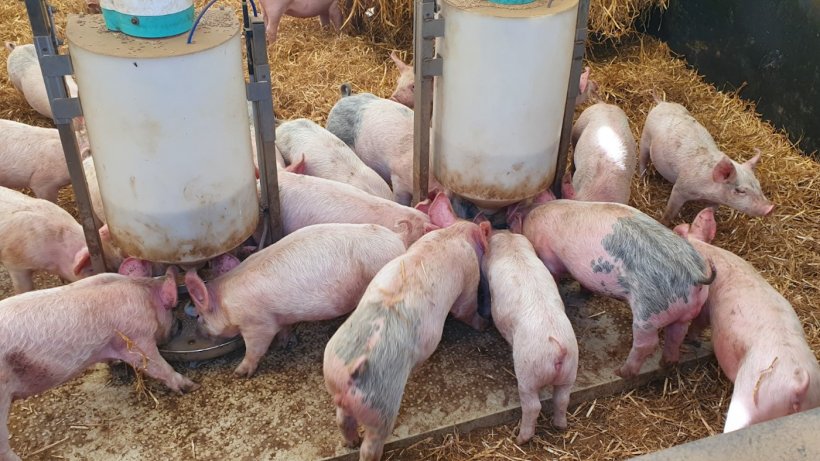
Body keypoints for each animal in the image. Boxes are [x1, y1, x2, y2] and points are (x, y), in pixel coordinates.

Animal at [320, 192, 486, 458]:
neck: (454, 234)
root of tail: (352, 370)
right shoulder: (469, 275)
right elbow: (466, 308)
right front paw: (483, 324)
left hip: (335, 381)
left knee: (342, 421)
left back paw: (350, 443)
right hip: (382, 404)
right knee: (371, 444)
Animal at [672, 207, 820, 434]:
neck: (702, 247)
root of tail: (798, 382)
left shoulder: (704, 304)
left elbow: (698, 323)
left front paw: (692, 340)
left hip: (748, 399)